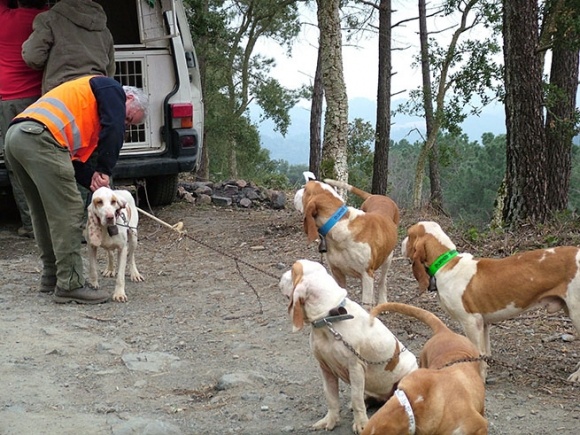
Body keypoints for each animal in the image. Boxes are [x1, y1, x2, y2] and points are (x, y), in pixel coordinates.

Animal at [278, 260, 416, 434]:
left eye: (292, 270)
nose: (281, 276)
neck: (329, 320)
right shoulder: (325, 368)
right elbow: (331, 397)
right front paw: (330, 420)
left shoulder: (355, 368)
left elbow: (356, 398)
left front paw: (361, 424)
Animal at [294, 176, 398, 306]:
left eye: (304, 189)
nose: (296, 191)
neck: (338, 224)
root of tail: (375, 196)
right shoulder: (337, 272)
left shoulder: (366, 274)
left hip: (388, 258)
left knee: (382, 282)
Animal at [402, 223, 580, 384]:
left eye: (409, 234)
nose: (402, 242)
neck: (447, 264)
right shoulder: (483, 323)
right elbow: (485, 352)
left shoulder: (471, 322)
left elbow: (478, 353)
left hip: (576, 314)